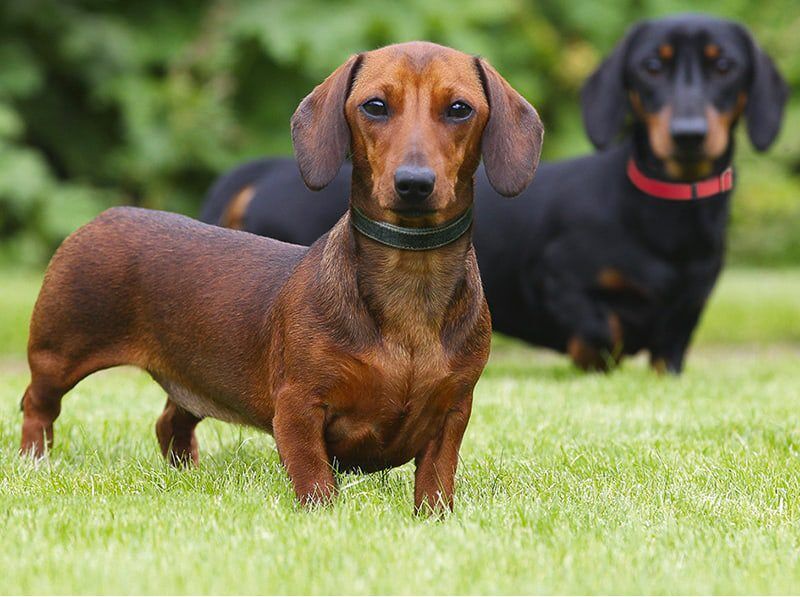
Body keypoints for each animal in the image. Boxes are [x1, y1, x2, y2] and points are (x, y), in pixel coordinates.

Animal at [18, 42, 544, 510]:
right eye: (375, 106)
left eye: (459, 109)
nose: (414, 184)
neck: (410, 281)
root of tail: (104, 215)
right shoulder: (298, 406)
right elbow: (314, 479)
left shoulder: (453, 411)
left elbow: (436, 479)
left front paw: (435, 518)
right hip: (59, 352)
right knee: (37, 404)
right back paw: (33, 461)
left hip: (190, 377)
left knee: (171, 423)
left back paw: (185, 474)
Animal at [200, 15, 788, 372]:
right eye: (651, 66)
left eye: (724, 66)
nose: (689, 133)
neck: (665, 216)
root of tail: (268, 169)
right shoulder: (557, 280)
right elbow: (600, 331)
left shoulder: (679, 334)